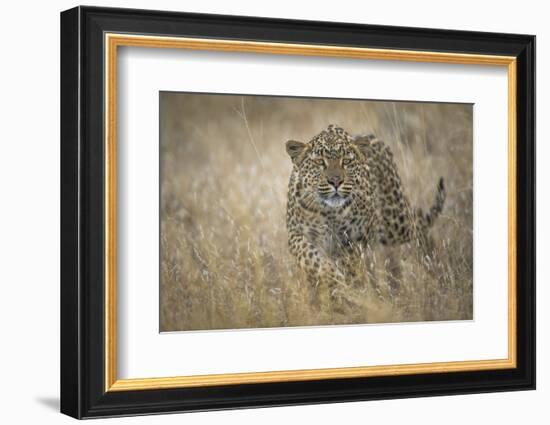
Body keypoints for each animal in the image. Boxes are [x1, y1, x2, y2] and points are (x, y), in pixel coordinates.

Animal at [286, 122, 446, 304]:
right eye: (320, 162)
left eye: (346, 161)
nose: (336, 181)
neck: (329, 212)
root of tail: (372, 137)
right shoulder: (296, 234)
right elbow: (312, 259)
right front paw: (333, 280)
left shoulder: (352, 239)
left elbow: (350, 266)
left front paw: (349, 287)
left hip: (395, 222)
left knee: (417, 222)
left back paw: (431, 258)